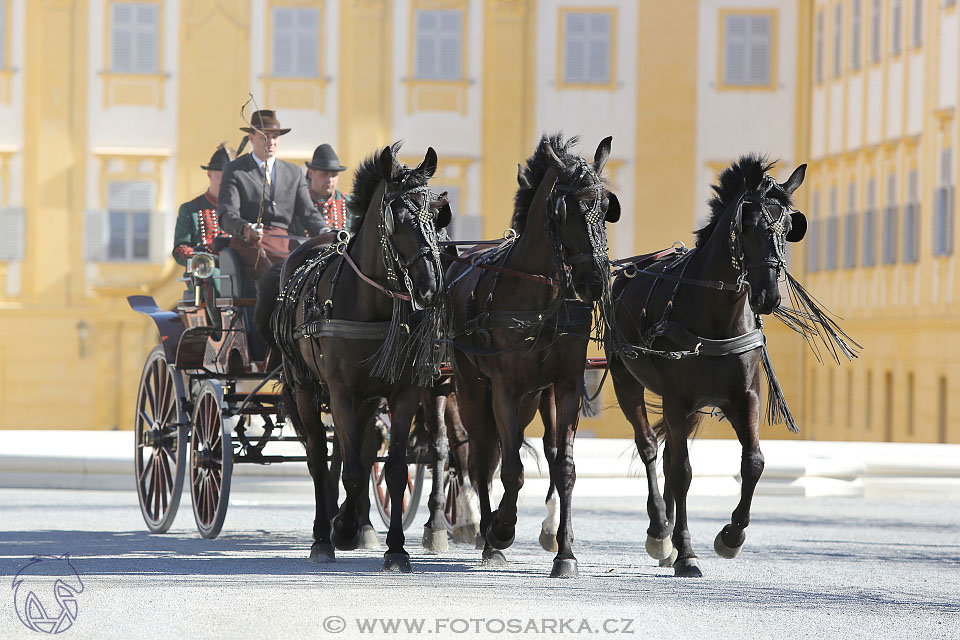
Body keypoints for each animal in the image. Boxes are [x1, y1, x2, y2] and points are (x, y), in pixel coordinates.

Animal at [255, 144, 450, 568]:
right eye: (401, 217)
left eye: (438, 215)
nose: (432, 287)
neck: (371, 304)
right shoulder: (340, 391)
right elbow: (356, 471)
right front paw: (340, 529)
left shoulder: (404, 392)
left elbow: (394, 470)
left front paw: (396, 548)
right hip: (305, 389)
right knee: (318, 456)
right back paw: (324, 533)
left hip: (368, 398)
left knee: (349, 451)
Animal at [446, 134, 620, 576]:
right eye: (566, 209)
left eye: (606, 206)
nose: (596, 280)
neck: (542, 299)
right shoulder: (505, 389)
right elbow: (511, 469)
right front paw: (501, 529)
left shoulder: (565, 386)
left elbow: (565, 467)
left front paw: (566, 552)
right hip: (472, 390)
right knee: (481, 457)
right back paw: (487, 534)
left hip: (535, 399)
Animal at [608, 156, 808, 580]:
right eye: (749, 224)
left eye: (788, 227)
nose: (768, 296)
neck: (716, 314)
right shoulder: (676, 398)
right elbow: (682, 472)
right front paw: (685, 552)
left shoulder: (743, 397)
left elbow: (754, 462)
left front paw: (732, 535)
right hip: (626, 380)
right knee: (650, 449)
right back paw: (660, 530)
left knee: (669, 453)